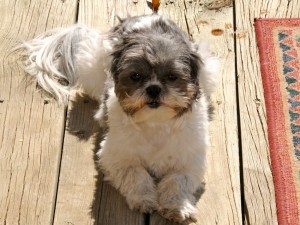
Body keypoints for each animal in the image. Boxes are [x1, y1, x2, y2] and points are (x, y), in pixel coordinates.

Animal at [19, 14, 219, 223]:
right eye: (136, 76)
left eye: (172, 76)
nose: (153, 88)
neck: (155, 123)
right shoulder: (118, 157)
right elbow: (137, 174)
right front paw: (143, 198)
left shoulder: (190, 159)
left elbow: (177, 180)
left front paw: (176, 206)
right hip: (92, 66)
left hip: (209, 71)